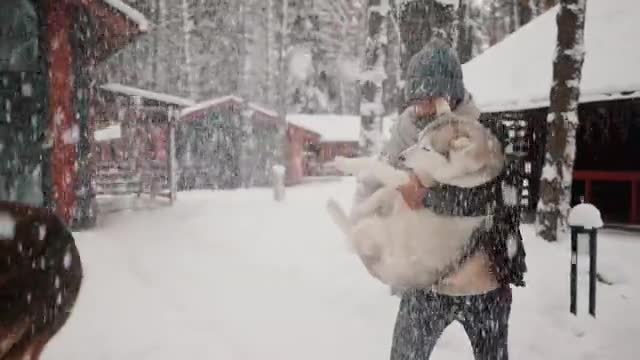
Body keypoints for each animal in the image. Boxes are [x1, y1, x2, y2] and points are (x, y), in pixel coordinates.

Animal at [328, 112, 502, 290]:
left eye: (426, 148)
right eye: (418, 140)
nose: (401, 157)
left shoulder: (409, 185)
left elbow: (379, 168)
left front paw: (346, 163)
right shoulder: (406, 186)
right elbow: (382, 192)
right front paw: (364, 207)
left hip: (375, 231)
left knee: (352, 231)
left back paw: (336, 210)